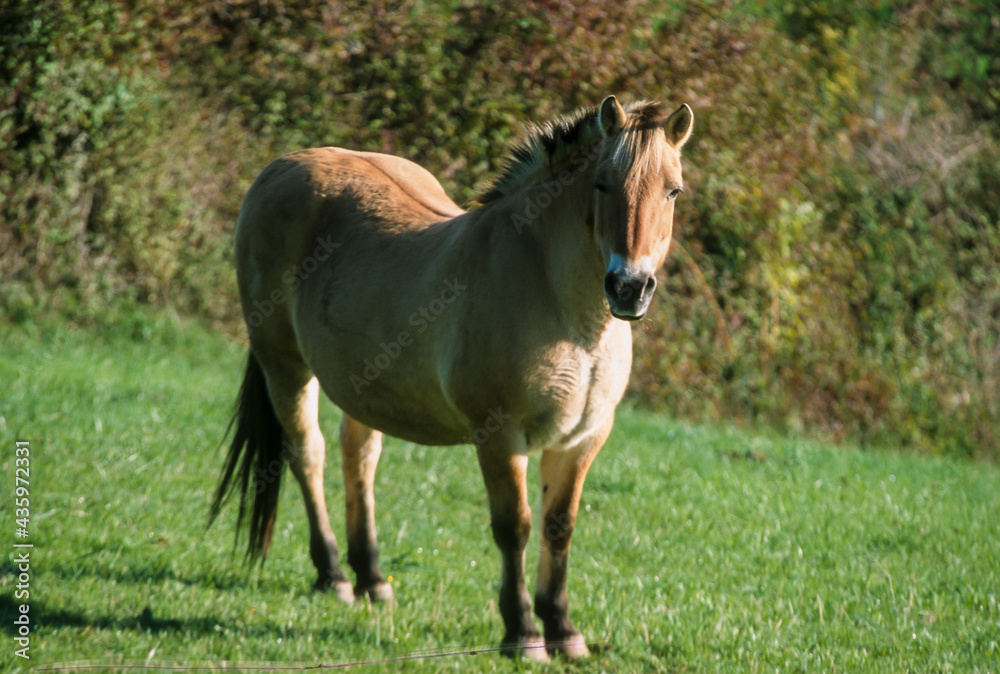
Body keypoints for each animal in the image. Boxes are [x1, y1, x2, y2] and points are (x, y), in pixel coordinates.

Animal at [209, 92, 696, 660]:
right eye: (602, 184)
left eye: (673, 190)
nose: (629, 287)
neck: (566, 310)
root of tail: (282, 166)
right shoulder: (500, 436)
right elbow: (515, 528)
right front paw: (523, 634)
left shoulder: (581, 440)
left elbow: (559, 528)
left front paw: (564, 631)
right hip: (283, 365)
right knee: (308, 455)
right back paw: (334, 576)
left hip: (361, 383)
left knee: (359, 456)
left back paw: (372, 579)